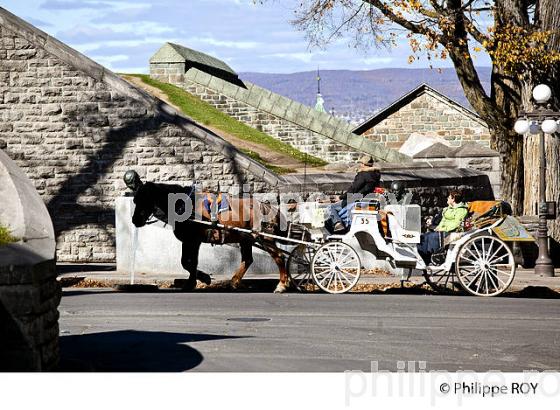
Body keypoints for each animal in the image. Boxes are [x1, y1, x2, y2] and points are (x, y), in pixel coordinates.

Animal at [127, 171, 290, 294]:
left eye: (145, 199)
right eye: (135, 200)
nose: (135, 220)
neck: (184, 204)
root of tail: (268, 207)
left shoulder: (192, 240)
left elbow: (188, 262)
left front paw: (200, 279)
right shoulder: (191, 241)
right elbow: (188, 262)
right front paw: (194, 281)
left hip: (264, 237)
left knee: (279, 256)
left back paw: (282, 284)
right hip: (246, 239)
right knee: (248, 259)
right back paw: (235, 282)